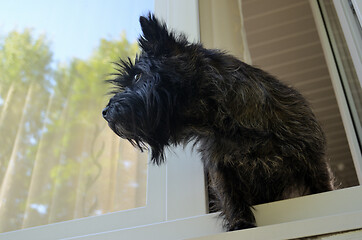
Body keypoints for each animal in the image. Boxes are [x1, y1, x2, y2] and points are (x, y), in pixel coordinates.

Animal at [102, 13, 334, 231]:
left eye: (137, 76)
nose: (105, 112)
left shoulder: (313, 161)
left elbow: (322, 188)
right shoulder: (221, 168)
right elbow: (231, 197)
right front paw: (241, 224)